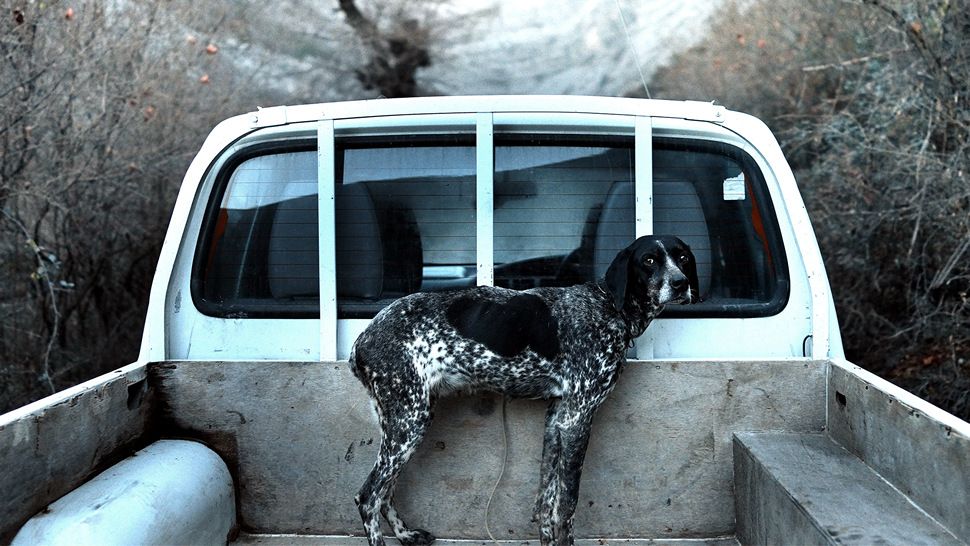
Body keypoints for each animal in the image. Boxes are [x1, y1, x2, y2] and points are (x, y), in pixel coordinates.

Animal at [352, 234, 700, 544]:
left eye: (682, 257)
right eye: (649, 260)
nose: (680, 283)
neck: (608, 307)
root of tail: (363, 338)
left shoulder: (557, 418)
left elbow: (545, 502)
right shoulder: (576, 420)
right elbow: (566, 506)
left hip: (398, 423)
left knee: (386, 492)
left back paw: (405, 535)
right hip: (410, 423)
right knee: (369, 496)